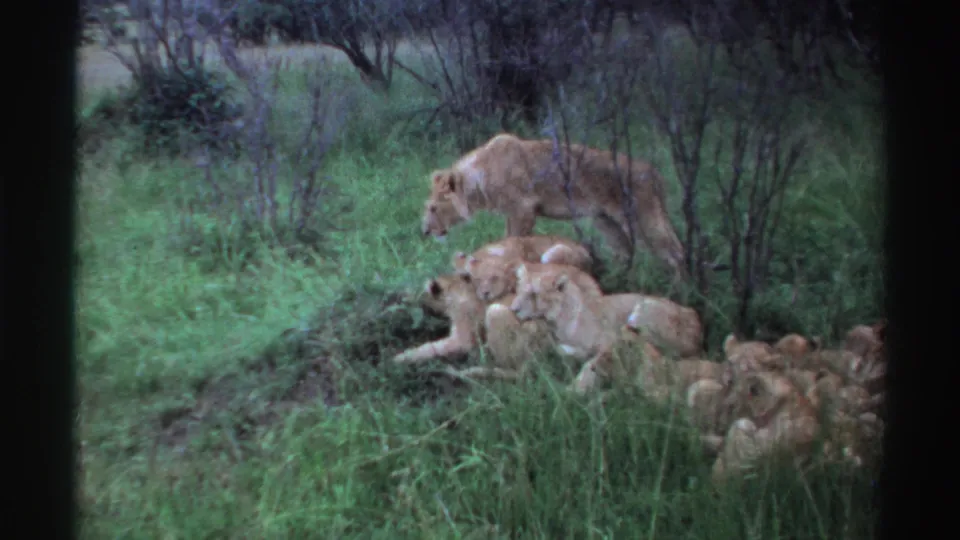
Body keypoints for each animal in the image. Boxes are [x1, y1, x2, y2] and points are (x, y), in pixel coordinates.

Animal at [420, 133, 687, 277]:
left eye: (433, 208)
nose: (425, 231)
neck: (480, 176)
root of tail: (653, 172)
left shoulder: (523, 209)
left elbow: (512, 240)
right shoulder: (514, 212)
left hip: (643, 217)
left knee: (675, 253)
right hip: (606, 222)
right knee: (626, 252)